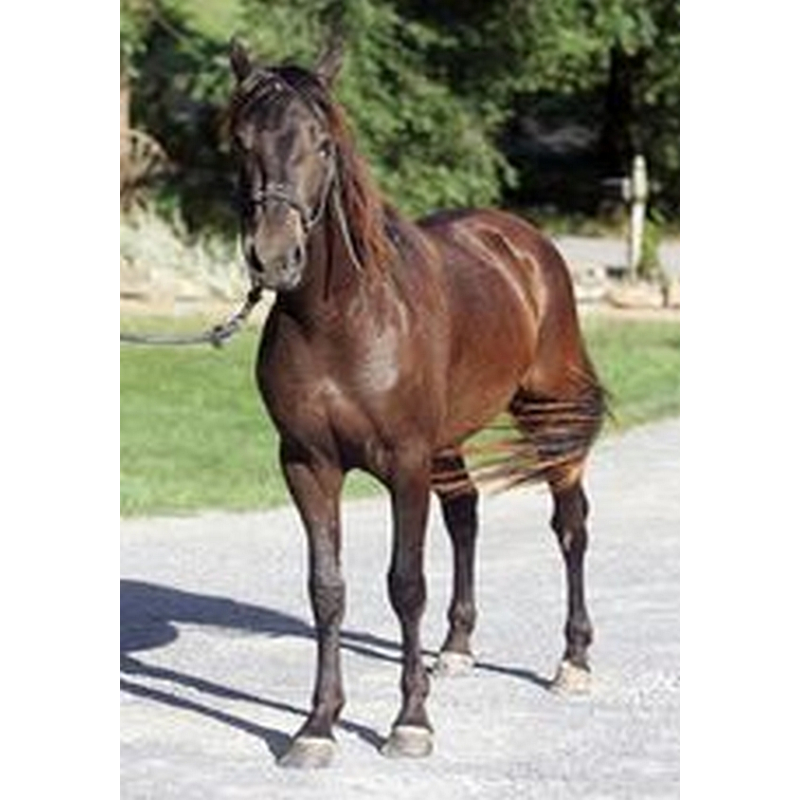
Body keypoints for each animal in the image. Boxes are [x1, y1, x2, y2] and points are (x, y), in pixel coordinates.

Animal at [227, 39, 607, 768]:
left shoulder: (404, 463)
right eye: (242, 141)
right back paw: (456, 651)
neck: (339, 322)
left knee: (570, 526)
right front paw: (317, 727)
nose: (274, 258)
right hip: (447, 442)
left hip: (547, 416)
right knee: (466, 517)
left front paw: (410, 723)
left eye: (324, 143)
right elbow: (327, 590)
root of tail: (526, 245)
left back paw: (573, 662)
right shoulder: (307, 465)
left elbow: (405, 585)